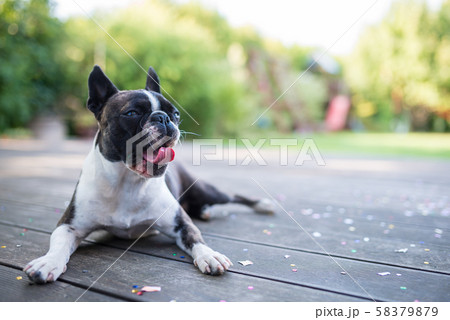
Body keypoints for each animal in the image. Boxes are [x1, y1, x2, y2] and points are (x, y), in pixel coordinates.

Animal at [24, 65, 272, 282]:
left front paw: (210, 255)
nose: (164, 117)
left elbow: (196, 238)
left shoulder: (181, 223)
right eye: (131, 113)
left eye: (176, 114)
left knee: (233, 196)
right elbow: (58, 245)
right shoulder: (69, 226)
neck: (128, 182)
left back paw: (262, 204)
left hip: (206, 190)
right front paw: (48, 263)